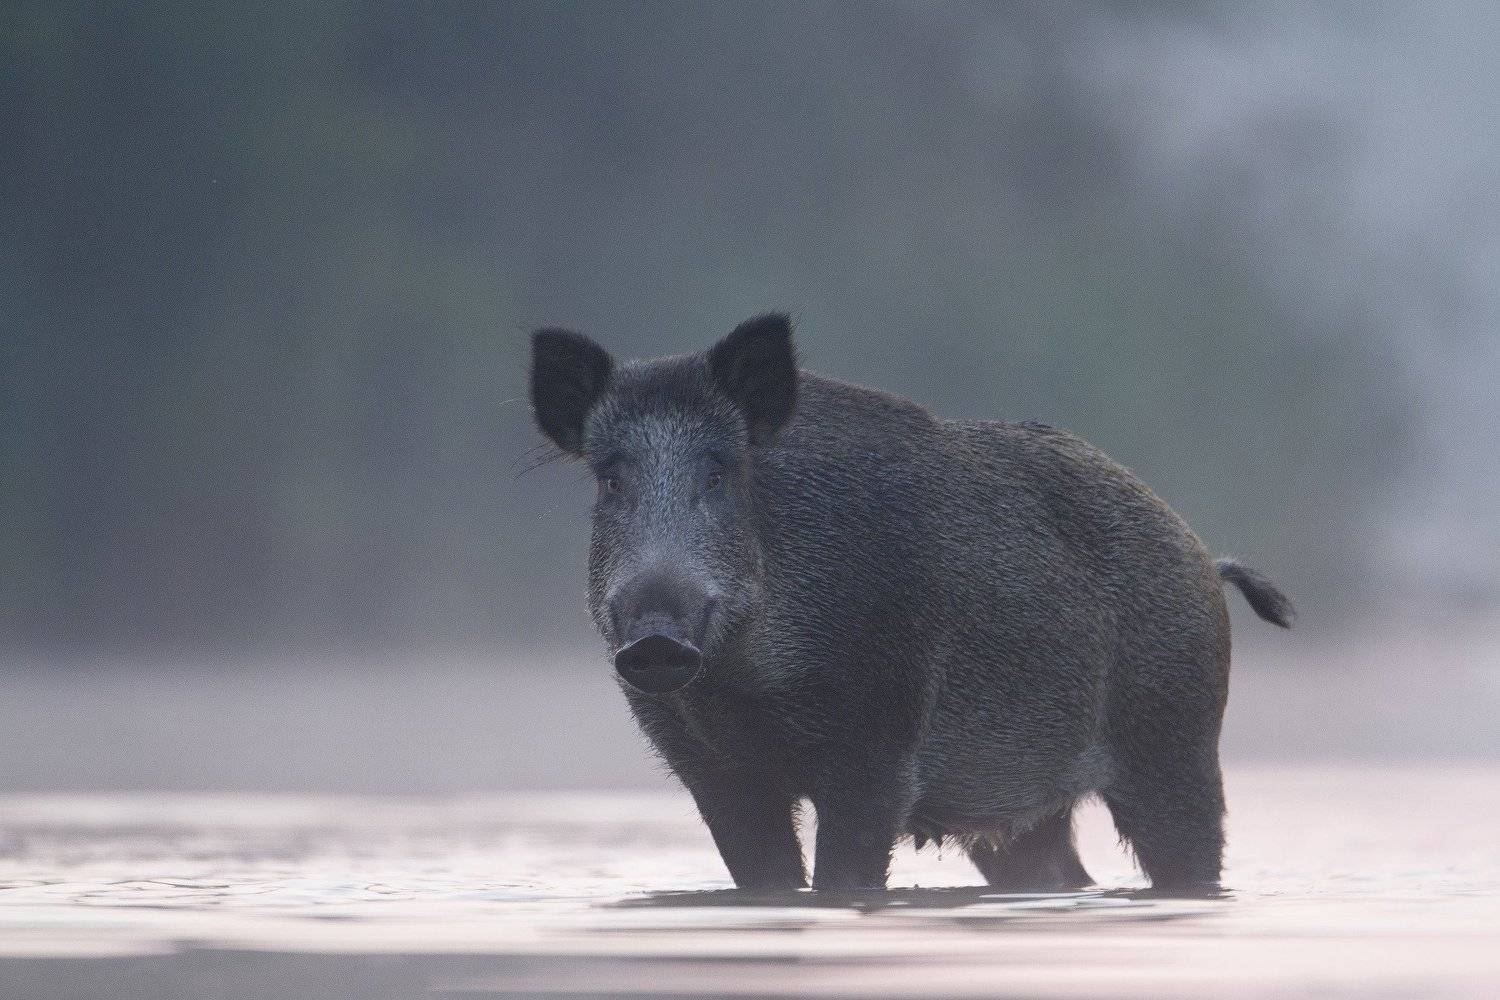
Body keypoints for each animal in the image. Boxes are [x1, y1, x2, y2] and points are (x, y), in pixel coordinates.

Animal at [528, 313, 1294, 892]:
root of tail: (1203, 555)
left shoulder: (878, 746)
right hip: (1022, 811)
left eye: (721, 471)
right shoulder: (711, 772)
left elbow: (845, 876)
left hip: (1175, 741)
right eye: (610, 479)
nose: (656, 636)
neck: (748, 688)